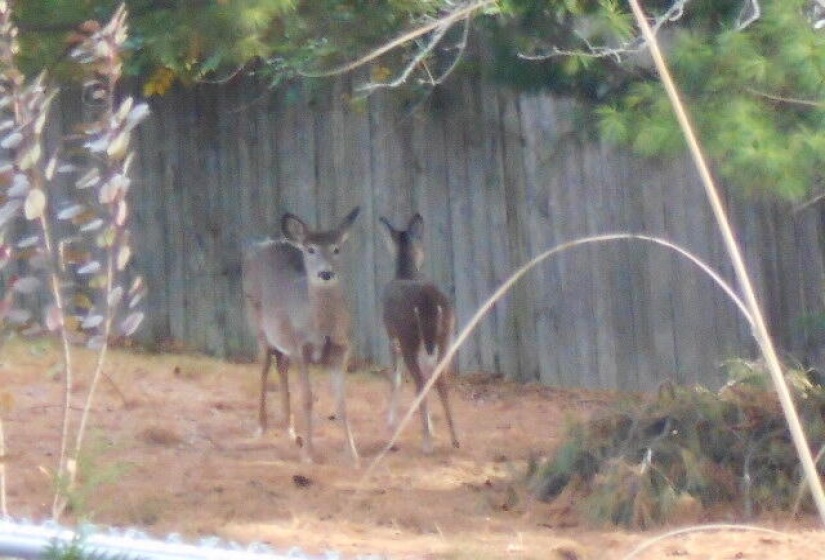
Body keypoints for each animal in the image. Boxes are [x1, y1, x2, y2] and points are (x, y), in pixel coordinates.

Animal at [243, 207, 362, 464]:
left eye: (336, 248)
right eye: (311, 249)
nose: (325, 273)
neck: (320, 328)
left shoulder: (341, 350)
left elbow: (342, 403)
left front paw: (353, 455)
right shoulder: (301, 348)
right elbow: (307, 398)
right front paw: (308, 455)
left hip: (283, 339)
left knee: (281, 367)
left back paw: (289, 429)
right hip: (258, 322)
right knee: (263, 367)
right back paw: (261, 427)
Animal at [378, 212, 458, 452]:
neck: (406, 272)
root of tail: (429, 301)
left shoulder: (391, 336)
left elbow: (395, 378)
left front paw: (391, 423)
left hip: (408, 338)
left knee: (421, 382)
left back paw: (427, 442)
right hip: (446, 336)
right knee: (440, 379)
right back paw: (454, 439)